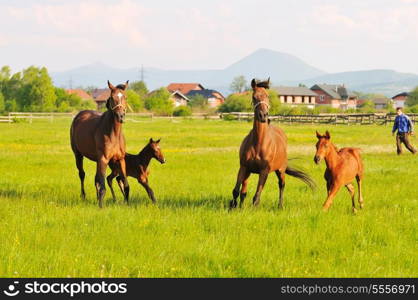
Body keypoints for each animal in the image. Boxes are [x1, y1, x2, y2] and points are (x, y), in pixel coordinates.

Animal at [230, 78, 316, 210]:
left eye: (267, 96)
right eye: (254, 97)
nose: (263, 115)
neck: (258, 143)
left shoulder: (264, 171)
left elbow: (256, 196)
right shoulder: (244, 167)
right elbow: (236, 191)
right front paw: (234, 207)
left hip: (280, 170)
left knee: (281, 185)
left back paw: (280, 205)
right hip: (249, 171)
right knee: (243, 190)